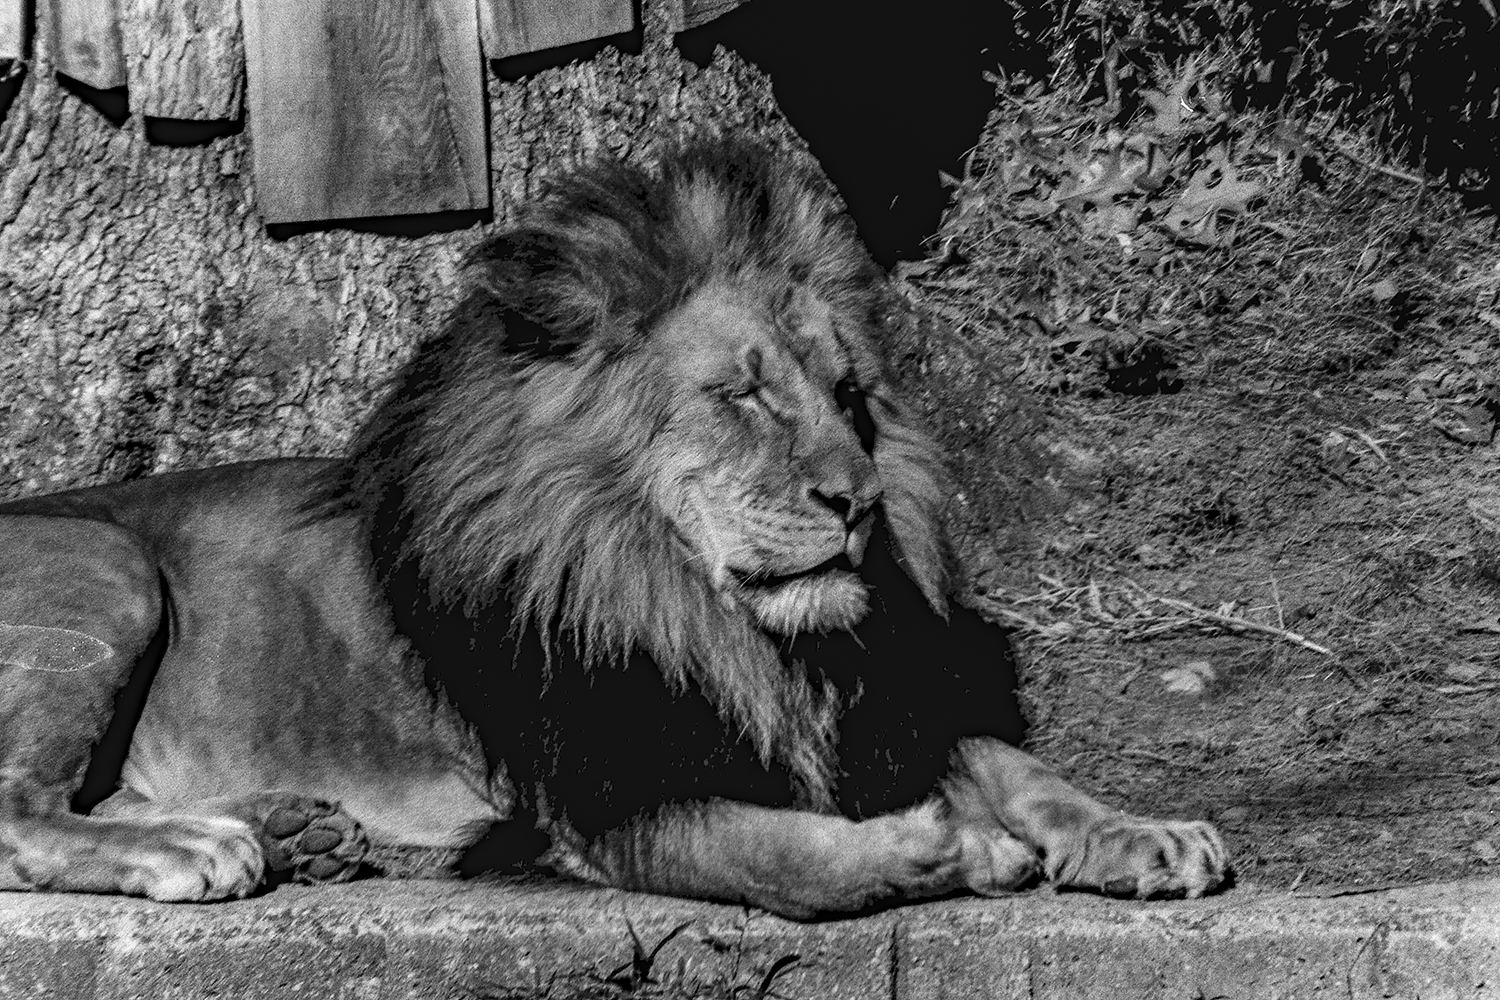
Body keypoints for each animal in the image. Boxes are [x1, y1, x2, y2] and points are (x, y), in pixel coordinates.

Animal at [0, 138, 1229, 917]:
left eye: (848, 394)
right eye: (744, 396)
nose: (861, 503)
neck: (682, 595)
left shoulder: (850, 713)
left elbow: (1009, 759)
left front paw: (1144, 832)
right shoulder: (598, 791)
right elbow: (778, 856)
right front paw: (948, 846)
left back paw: (294, 828)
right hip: (105, 566)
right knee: (22, 809)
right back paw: (195, 844)